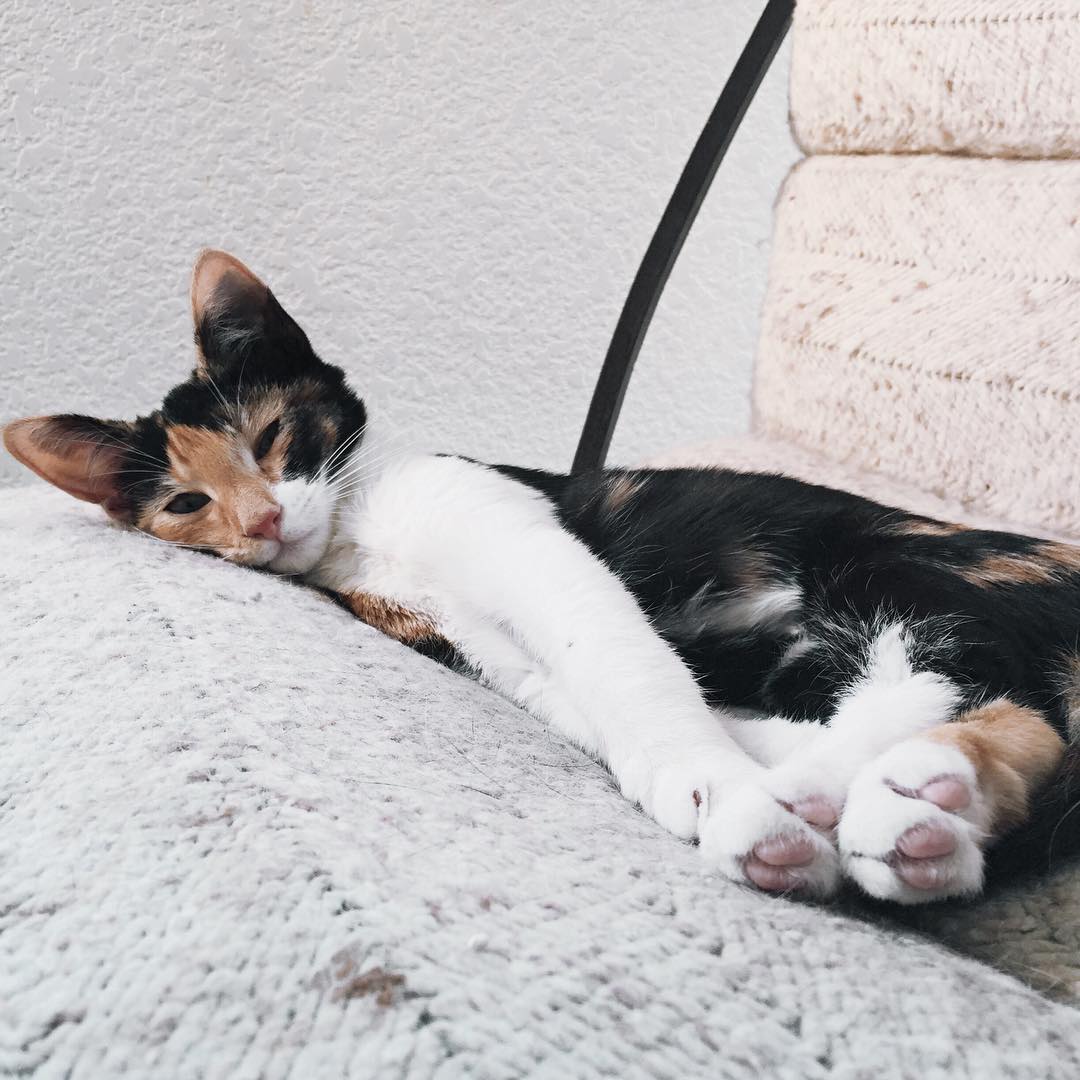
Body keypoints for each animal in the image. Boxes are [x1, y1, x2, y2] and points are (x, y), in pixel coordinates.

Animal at [4, 250, 1075, 902]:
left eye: (269, 437)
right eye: (187, 503)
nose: (263, 521)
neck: (364, 534)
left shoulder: (530, 544)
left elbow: (621, 662)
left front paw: (715, 785)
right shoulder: (480, 651)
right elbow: (589, 700)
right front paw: (696, 781)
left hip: (893, 569)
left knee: (992, 701)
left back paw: (899, 797)